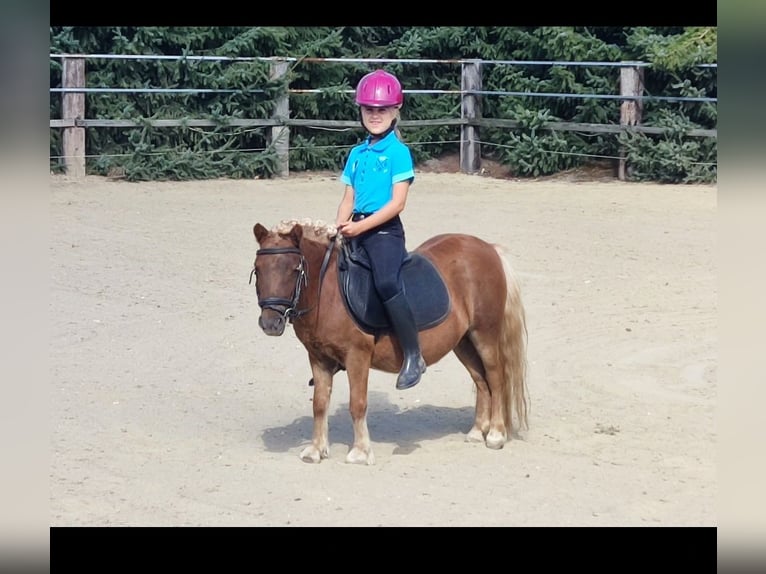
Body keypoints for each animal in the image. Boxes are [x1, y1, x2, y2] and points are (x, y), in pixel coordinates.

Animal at [252, 218, 528, 466]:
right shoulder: (318, 358)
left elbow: (358, 403)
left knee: (495, 377)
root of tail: (487, 248)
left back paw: (495, 434)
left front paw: (360, 452)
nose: (270, 323)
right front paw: (315, 450)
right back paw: (477, 431)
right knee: (481, 381)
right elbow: (319, 404)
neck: (327, 292)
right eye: (258, 268)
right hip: (463, 342)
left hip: (484, 335)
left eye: (294, 269)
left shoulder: (357, 357)